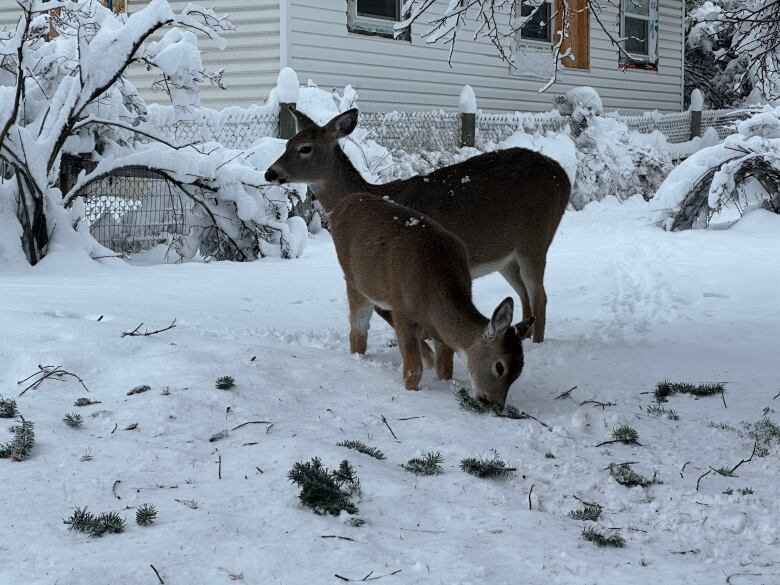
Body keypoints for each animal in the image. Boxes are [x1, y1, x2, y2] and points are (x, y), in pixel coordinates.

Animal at [266, 106, 568, 342]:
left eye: (305, 148)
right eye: (286, 144)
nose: (270, 172)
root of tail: (563, 176)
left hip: (536, 238)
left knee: (540, 296)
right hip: (506, 254)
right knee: (525, 295)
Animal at [326, 192, 532, 406]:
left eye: (518, 373)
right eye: (500, 367)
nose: (494, 404)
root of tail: (341, 205)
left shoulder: (439, 332)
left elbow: (445, 367)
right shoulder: (402, 312)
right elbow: (413, 368)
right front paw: (412, 392)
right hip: (354, 280)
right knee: (358, 329)